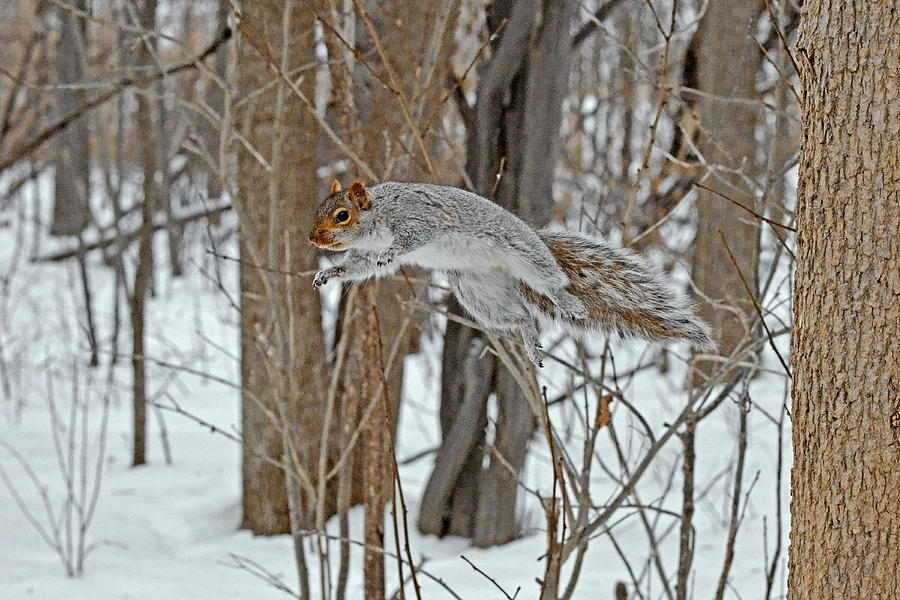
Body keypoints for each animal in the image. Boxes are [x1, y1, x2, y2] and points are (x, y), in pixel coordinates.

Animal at [306, 178, 712, 366]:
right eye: (319, 209)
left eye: (342, 215)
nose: (312, 238)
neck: (375, 223)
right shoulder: (363, 253)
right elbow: (357, 266)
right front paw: (329, 274)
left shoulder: (417, 219)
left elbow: (410, 240)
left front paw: (390, 251)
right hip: (478, 294)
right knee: (520, 318)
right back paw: (530, 341)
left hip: (527, 258)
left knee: (554, 284)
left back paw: (568, 302)